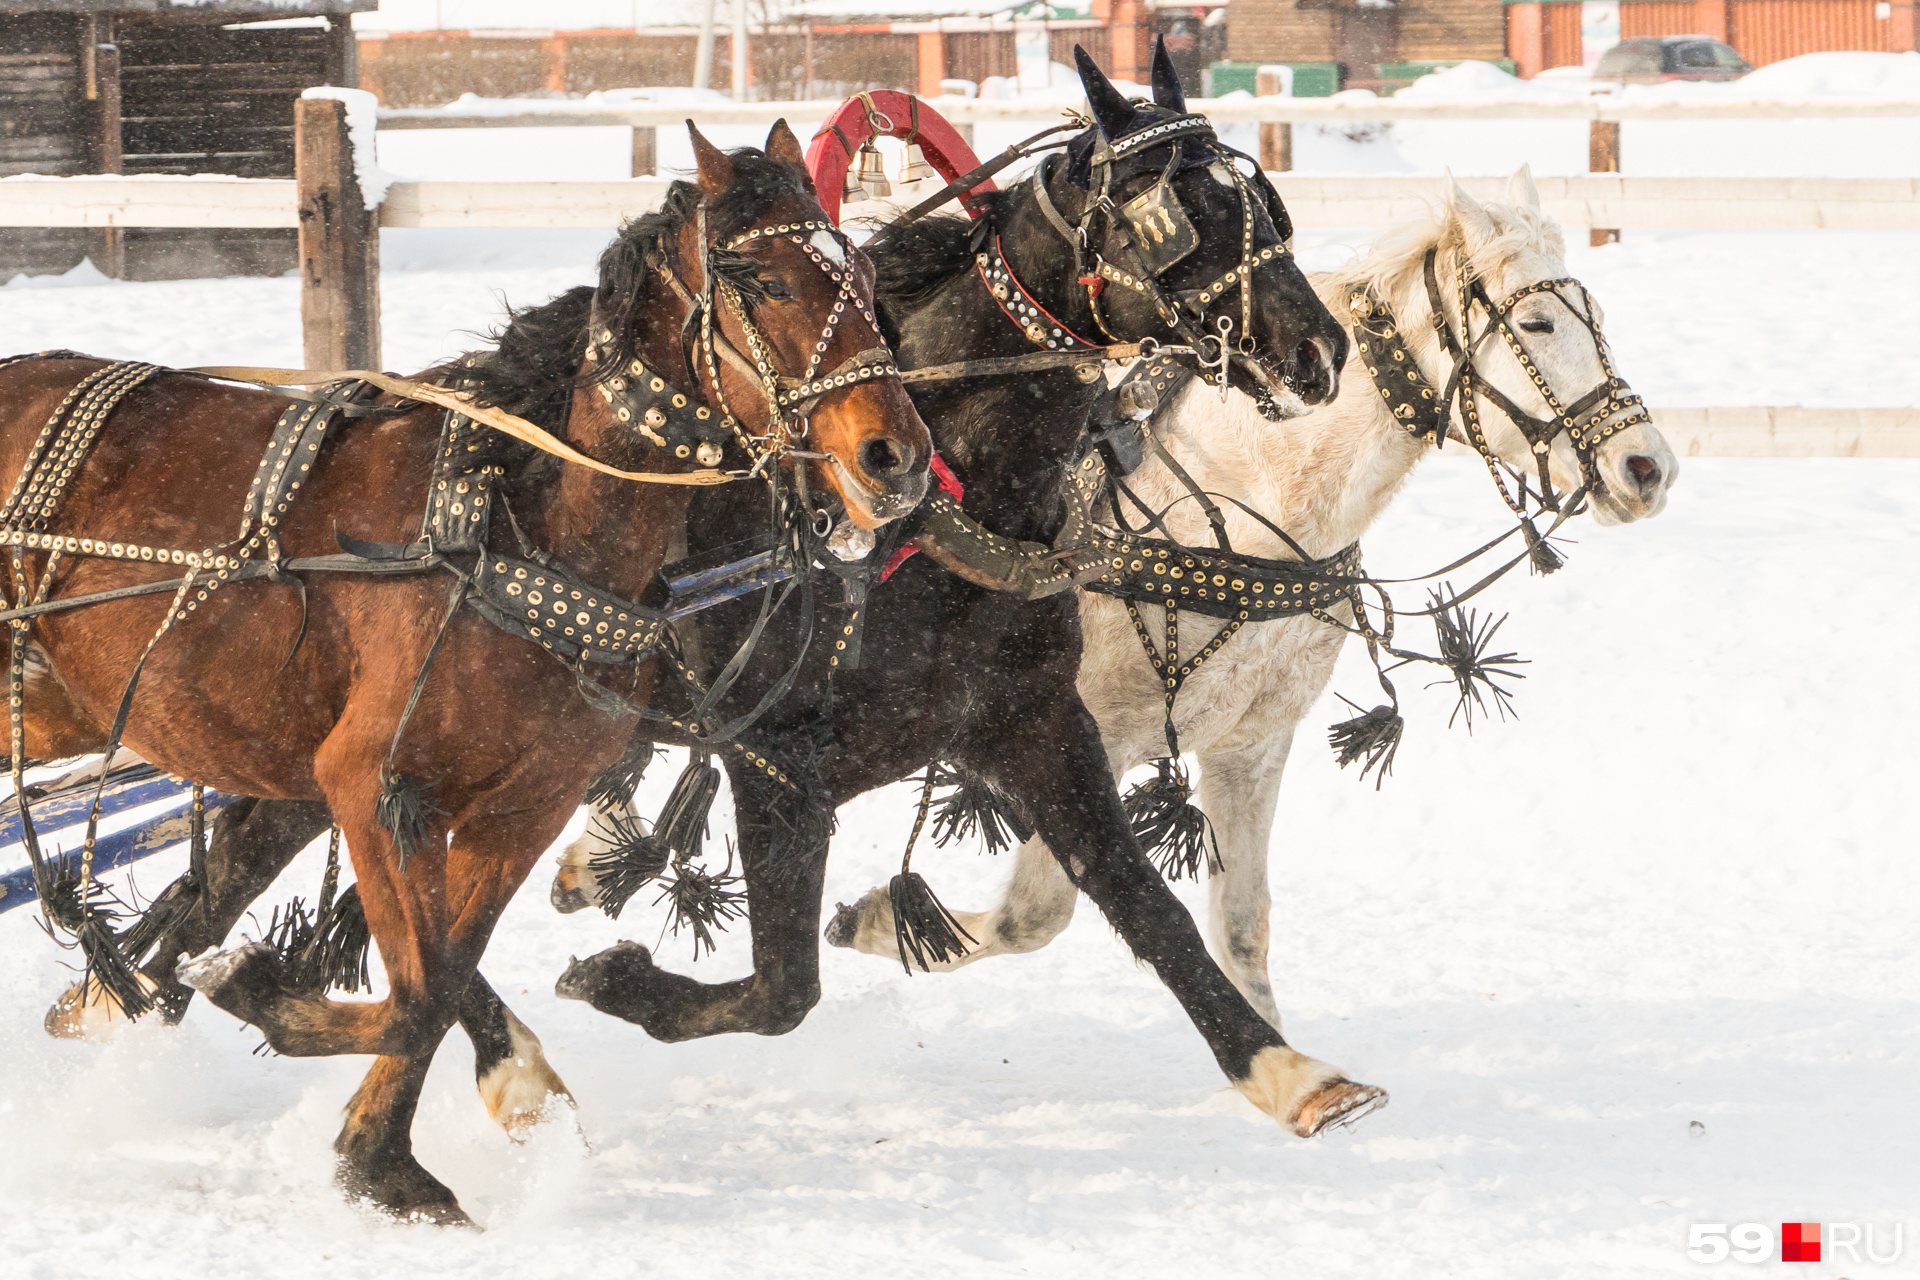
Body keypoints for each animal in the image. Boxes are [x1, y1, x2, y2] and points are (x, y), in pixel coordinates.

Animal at [0, 124, 929, 1228]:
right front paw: (257, 991)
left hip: (62, 705)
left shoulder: (519, 807)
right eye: (771, 282)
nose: (896, 455)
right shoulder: (370, 782)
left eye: (864, 273)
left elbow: (441, 979)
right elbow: (414, 992)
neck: (511, 529)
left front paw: (381, 1159)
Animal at [74, 45, 1382, 1136]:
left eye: (1266, 203)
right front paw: (622, 976)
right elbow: (781, 986)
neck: (934, 511)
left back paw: (132, 1001)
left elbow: (1145, 905)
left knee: (244, 869)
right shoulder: (775, 761)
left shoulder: (1032, 722)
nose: (1320, 350)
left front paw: (1286, 1069)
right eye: (1187, 213)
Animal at [817, 169, 1674, 1028]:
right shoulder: (1082, 739)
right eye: (1535, 321)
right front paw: (878, 919)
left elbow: (1242, 932)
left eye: (1594, 318)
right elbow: (1033, 915)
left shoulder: (1251, 745)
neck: (1239, 500)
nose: (1647, 467)